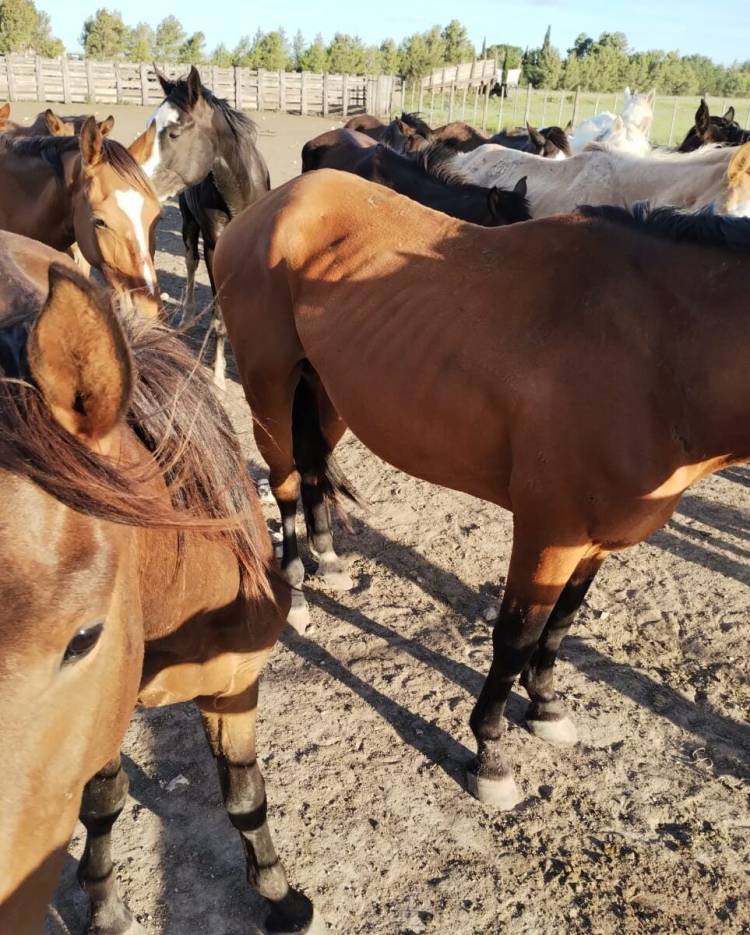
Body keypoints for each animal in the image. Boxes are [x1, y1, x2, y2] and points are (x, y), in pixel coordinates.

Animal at [0, 232, 322, 935]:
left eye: (85, 638)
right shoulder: (104, 717)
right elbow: (103, 800)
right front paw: (107, 908)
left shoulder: (234, 683)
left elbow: (244, 796)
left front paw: (281, 896)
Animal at [131, 65, 270, 389]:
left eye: (174, 132)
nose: (136, 181)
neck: (237, 196)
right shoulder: (213, 246)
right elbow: (218, 312)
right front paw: (219, 372)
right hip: (188, 226)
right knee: (190, 263)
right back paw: (186, 318)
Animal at [213, 168, 750, 813]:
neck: (653, 356)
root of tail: (272, 204)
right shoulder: (548, 533)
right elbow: (516, 637)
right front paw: (490, 752)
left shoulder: (592, 543)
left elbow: (562, 623)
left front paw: (545, 707)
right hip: (268, 383)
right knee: (286, 478)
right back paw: (294, 582)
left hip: (326, 389)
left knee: (314, 469)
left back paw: (329, 560)